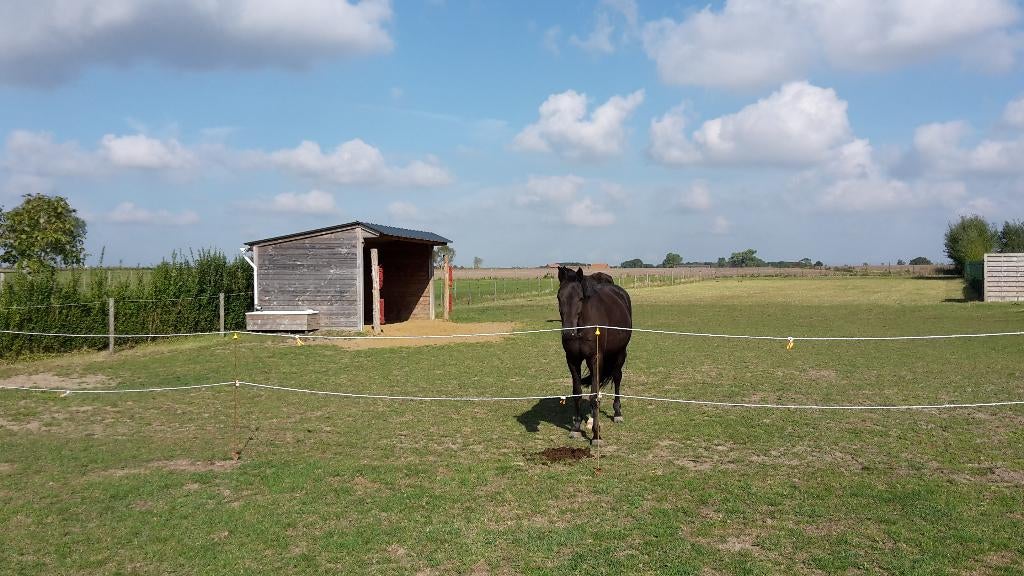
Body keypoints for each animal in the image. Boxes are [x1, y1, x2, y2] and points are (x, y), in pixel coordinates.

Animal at [556, 266, 632, 445]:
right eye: (559, 297)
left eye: (580, 298)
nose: (568, 333)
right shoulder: (573, 360)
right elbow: (578, 393)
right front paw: (576, 428)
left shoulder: (595, 358)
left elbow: (593, 395)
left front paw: (597, 435)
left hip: (620, 353)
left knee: (617, 378)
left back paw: (617, 413)